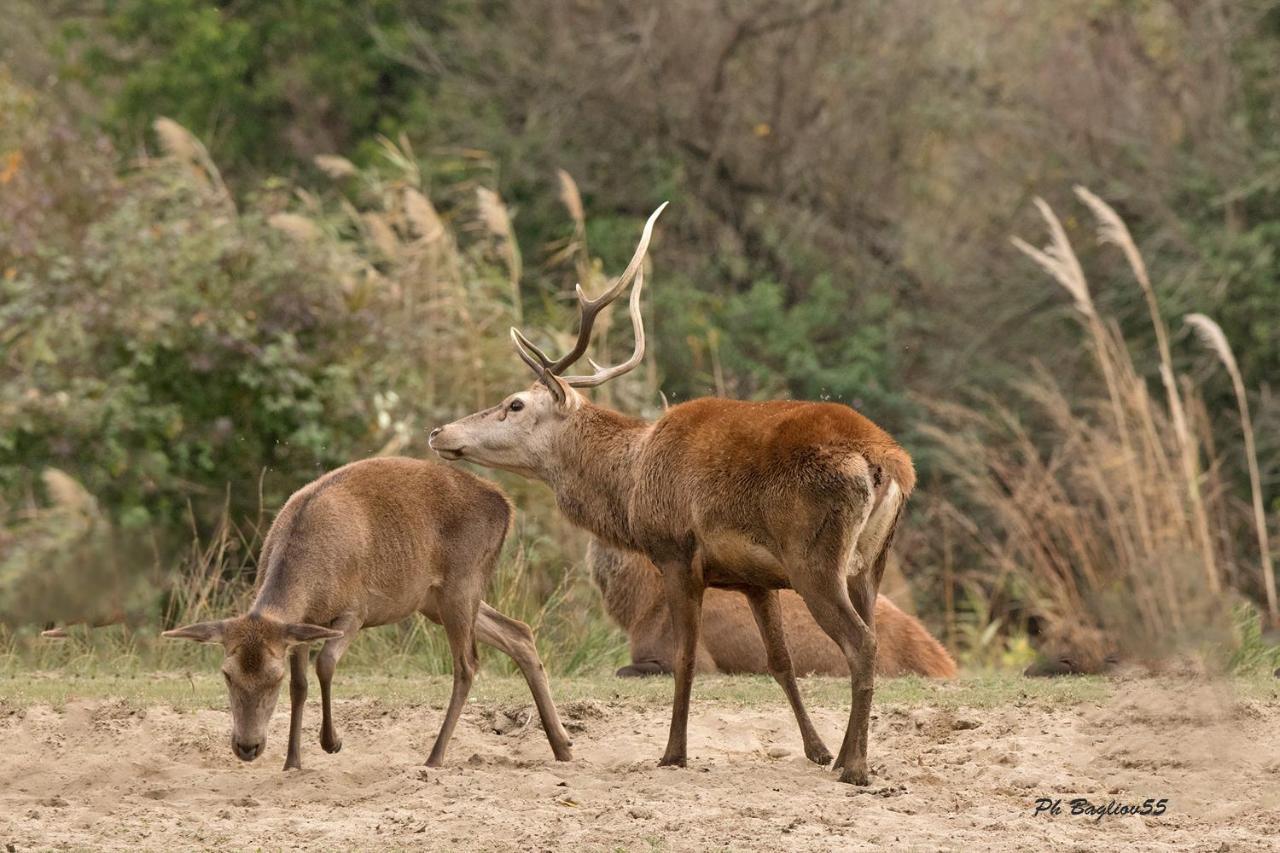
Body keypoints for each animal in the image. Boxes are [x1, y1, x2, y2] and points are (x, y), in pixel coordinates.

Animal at [163, 455, 570, 768]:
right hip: (433, 599)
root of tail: (507, 505)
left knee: (467, 663)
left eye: (271, 678)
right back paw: (562, 745)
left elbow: (325, 665)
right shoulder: (301, 627)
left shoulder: (354, 611)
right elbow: (301, 686)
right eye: (227, 674)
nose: (247, 747)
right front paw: (292, 762)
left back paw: (435, 757)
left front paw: (331, 742)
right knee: (519, 632)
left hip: (463, 579)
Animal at [435, 204, 916, 778]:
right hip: (870, 563)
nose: (439, 433)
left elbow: (685, 658)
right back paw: (844, 756)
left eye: (514, 404)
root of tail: (887, 463)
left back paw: (857, 768)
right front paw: (815, 749)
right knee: (864, 638)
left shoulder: (675, 551)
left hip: (814, 558)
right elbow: (780, 662)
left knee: (861, 643)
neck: (631, 482)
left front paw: (673, 753)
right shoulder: (754, 578)